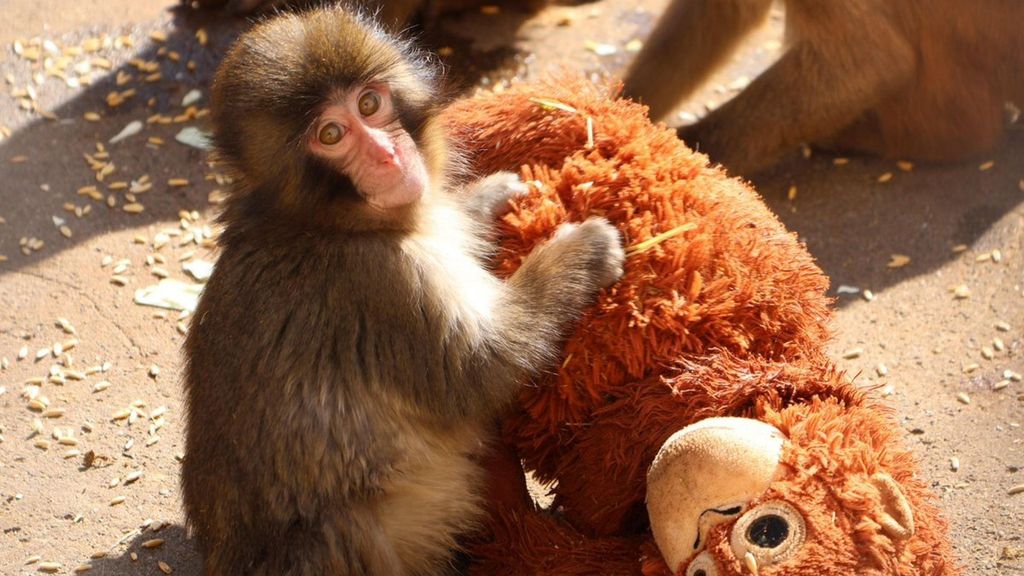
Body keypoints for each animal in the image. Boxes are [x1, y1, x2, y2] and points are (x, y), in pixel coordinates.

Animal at [180, 6, 623, 576]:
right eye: (331, 134)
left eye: (370, 104)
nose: (388, 155)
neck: (323, 224)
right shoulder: (382, 283)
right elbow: (481, 370)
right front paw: (581, 251)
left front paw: (487, 198)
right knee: (344, 528)